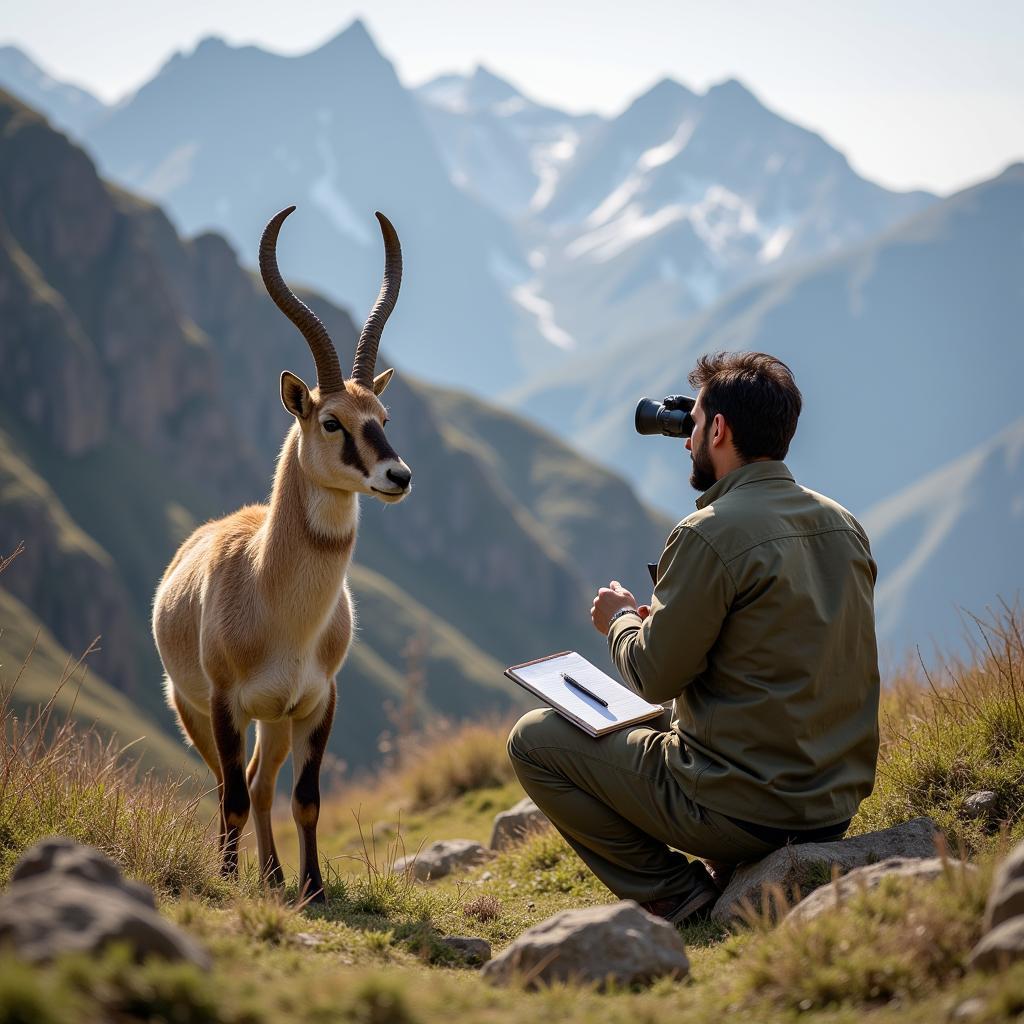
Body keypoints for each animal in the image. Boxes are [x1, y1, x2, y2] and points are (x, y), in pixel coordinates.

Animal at [151, 203, 407, 901]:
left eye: (383, 417)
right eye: (331, 420)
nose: (398, 476)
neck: (276, 598)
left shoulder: (316, 703)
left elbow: (306, 800)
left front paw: (311, 887)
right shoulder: (224, 705)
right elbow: (234, 798)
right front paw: (227, 881)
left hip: (276, 721)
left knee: (263, 784)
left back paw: (271, 875)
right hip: (199, 713)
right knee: (229, 788)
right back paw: (244, 872)